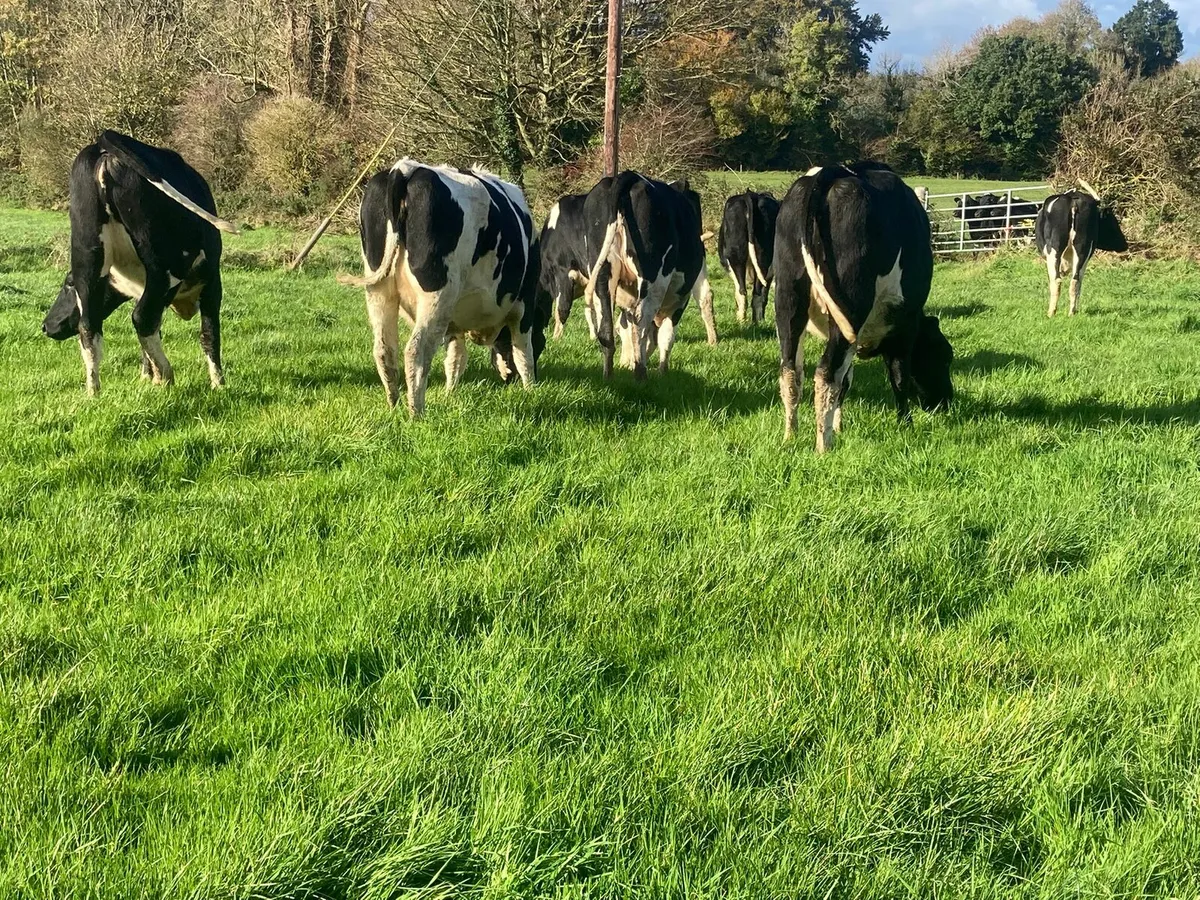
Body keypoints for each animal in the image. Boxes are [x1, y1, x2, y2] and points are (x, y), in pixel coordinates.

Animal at [41, 130, 237, 395]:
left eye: (67, 284)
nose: (45, 326)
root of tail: (104, 144)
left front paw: (146, 377)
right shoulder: (212, 280)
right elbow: (209, 333)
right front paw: (218, 384)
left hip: (88, 255)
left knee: (90, 327)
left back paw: (94, 392)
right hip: (164, 268)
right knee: (142, 318)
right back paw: (166, 375)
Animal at [342, 160, 542, 416]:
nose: (509, 380)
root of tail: (405, 168)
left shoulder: (454, 320)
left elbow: (455, 357)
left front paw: (449, 394)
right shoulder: (524, 304)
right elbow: (523, 352)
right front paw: (531, 390)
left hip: (380, 292)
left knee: (384, 350)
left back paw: (394, 406)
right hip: (436, 295)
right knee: (416, 351)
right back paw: (416, 412)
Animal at [581, 172, 716, 379]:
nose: (624, 364)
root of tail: (627, 176)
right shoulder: (680, 299)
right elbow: (667, 336)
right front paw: (662, 372)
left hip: (601, 274)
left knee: (606, 328)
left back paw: (609, 376)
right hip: (654, 280)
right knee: (641, 323)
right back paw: (640, 374)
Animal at [717, 191, 780, 326]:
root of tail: (750, 195)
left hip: (736, 254)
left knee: (743, 291)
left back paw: (742, 321)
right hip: (763, 260)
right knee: (757, 294)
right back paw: (758, 322)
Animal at [773, 162, 955, 451]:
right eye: (945, 356)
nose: (946, 401)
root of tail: (831, 172)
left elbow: (847, 380)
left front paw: (840, 426)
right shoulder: (904, 325)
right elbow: (899, 375)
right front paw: (906, 425)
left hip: (789, 298)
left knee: (791, 371)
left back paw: (790, 436)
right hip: (851, 304)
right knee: (825, 374)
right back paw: (823, 447)